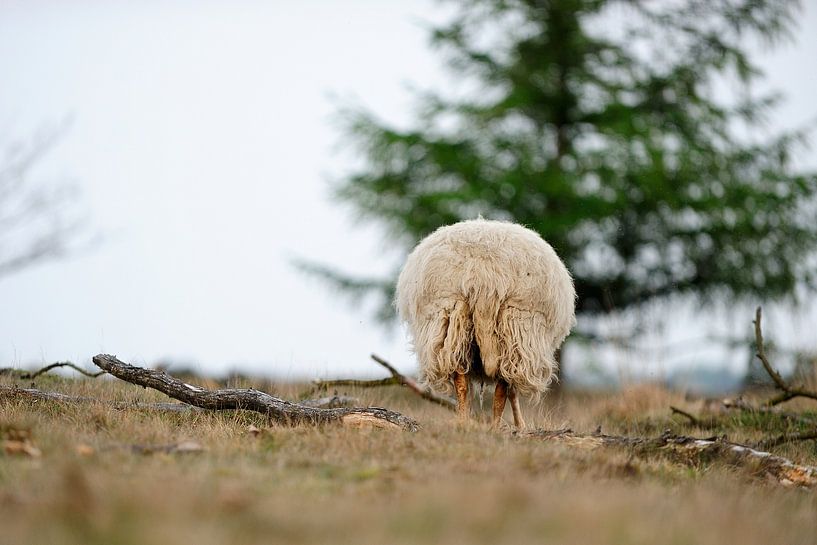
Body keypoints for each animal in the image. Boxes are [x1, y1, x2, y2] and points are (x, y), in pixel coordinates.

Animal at [395, 218, 576, 429]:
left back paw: (463, 422)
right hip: (517, 323)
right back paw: (495, 427)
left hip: (451, 316)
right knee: (503, 385)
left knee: (462, 380)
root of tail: (484, 278)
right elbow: (512, 391)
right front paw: (520, 425)